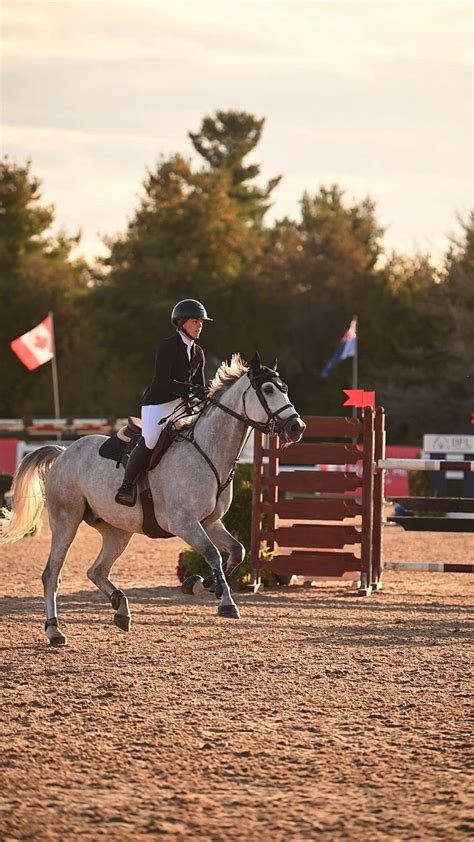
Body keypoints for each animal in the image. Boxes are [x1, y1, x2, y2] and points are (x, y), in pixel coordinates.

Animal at [1, 353, 305, 645]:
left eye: (285, 389)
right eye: (268, 389)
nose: (296, 427)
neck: (209, 452)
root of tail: (63, 453)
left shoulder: (210, 522)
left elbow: (236, 552)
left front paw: (196, 584)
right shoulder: (184, 523)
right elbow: (213, 555)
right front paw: (227, 603)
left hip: (117, 531)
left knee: (97, 571)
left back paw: (121, 609)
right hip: (66, 522)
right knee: (52, 574)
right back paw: (55, 631)